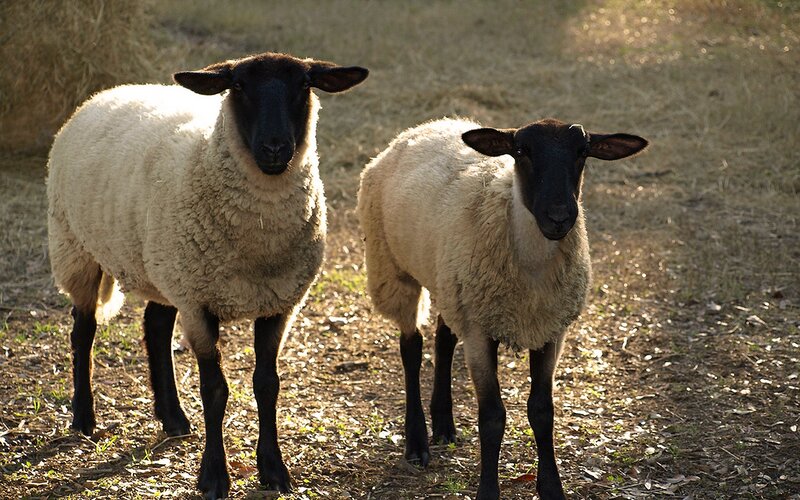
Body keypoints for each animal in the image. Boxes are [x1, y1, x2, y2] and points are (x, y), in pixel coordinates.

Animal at [47, 51, 368, 499]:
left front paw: (273, 469)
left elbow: (267, 384)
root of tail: (106, 92)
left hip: (164, 266)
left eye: (304, 85)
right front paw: (214, 475)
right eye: (239, 86)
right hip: (76, 247)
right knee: (83, 330)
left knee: (155, 325)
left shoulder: (279, 303)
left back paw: (173, 418)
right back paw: (83, 417)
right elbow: (215, 391)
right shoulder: (199, 305)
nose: (274, 147)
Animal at [357, 117, 648, 499]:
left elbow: (542, 411)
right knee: (411, 347)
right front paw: (488, 490)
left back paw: (444, 424)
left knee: (444, 339)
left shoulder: (549, 329)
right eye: (522, 150)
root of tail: (424, 127)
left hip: (452, 283)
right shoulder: (481, 334)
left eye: (583, 151)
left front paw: (551, 488)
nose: (559, 217)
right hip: (393, 270)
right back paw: (417, 442)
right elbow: (492, 416)